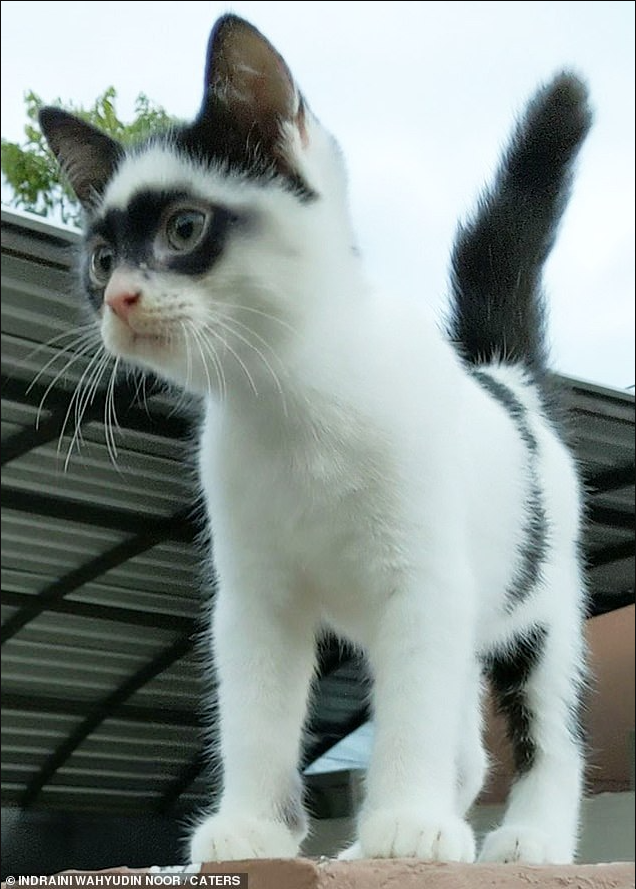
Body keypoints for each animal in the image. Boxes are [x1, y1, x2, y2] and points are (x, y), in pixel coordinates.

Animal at [39, 12, 592, 860]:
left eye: (184, 228)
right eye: (100, 260)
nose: (119, 298)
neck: (291, 404)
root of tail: (508, 380)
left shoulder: (424, 580)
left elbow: (415, 712)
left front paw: (408, 819)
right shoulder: (254, 595)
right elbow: (257, 712)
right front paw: (253, 826)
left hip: (541, 604)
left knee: (548, 731)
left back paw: (527, 838)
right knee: (467, 742)